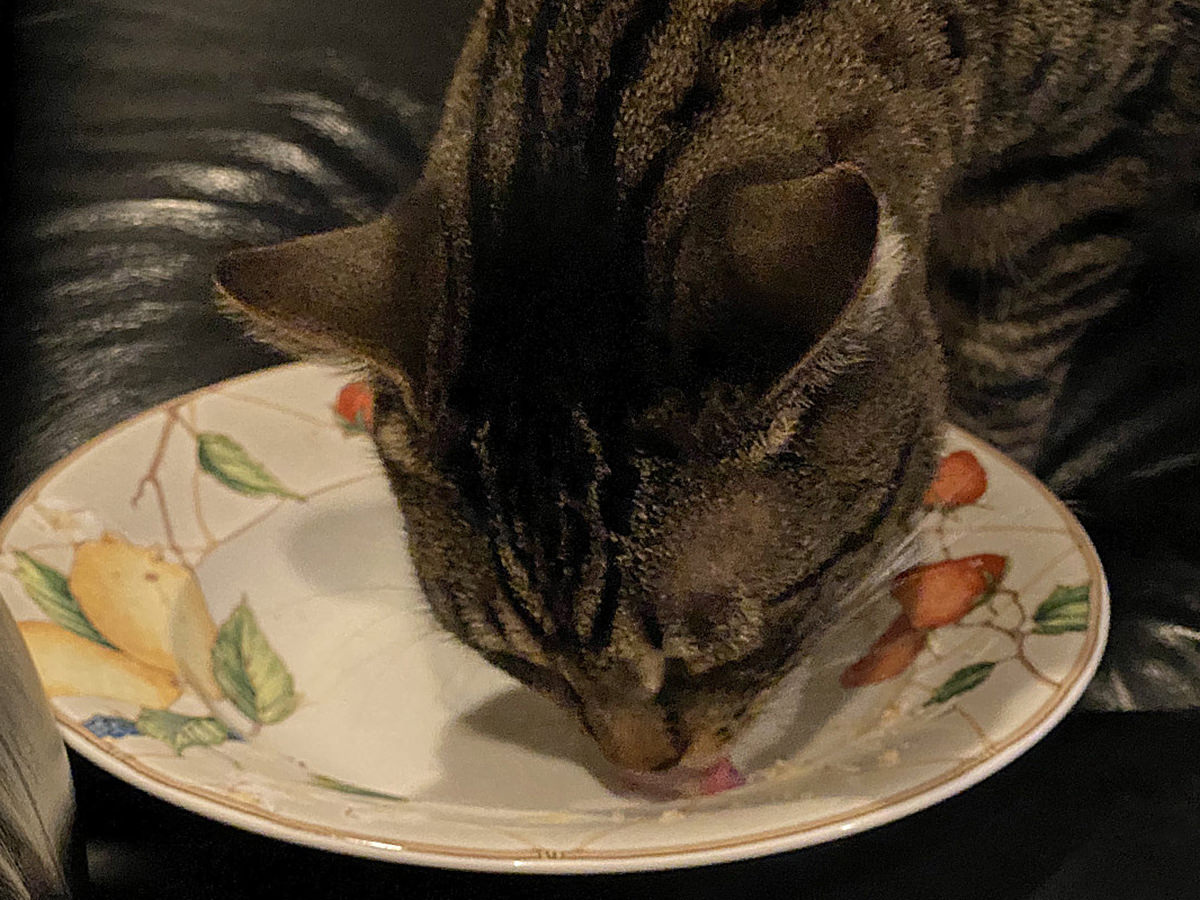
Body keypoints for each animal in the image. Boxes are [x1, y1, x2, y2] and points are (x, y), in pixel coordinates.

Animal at [211, 0, 1195, 777]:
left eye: (710, 657)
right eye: (521, 661)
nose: (643, 772)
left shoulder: (1073, 164)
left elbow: (1007, 358)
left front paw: (985, 482)